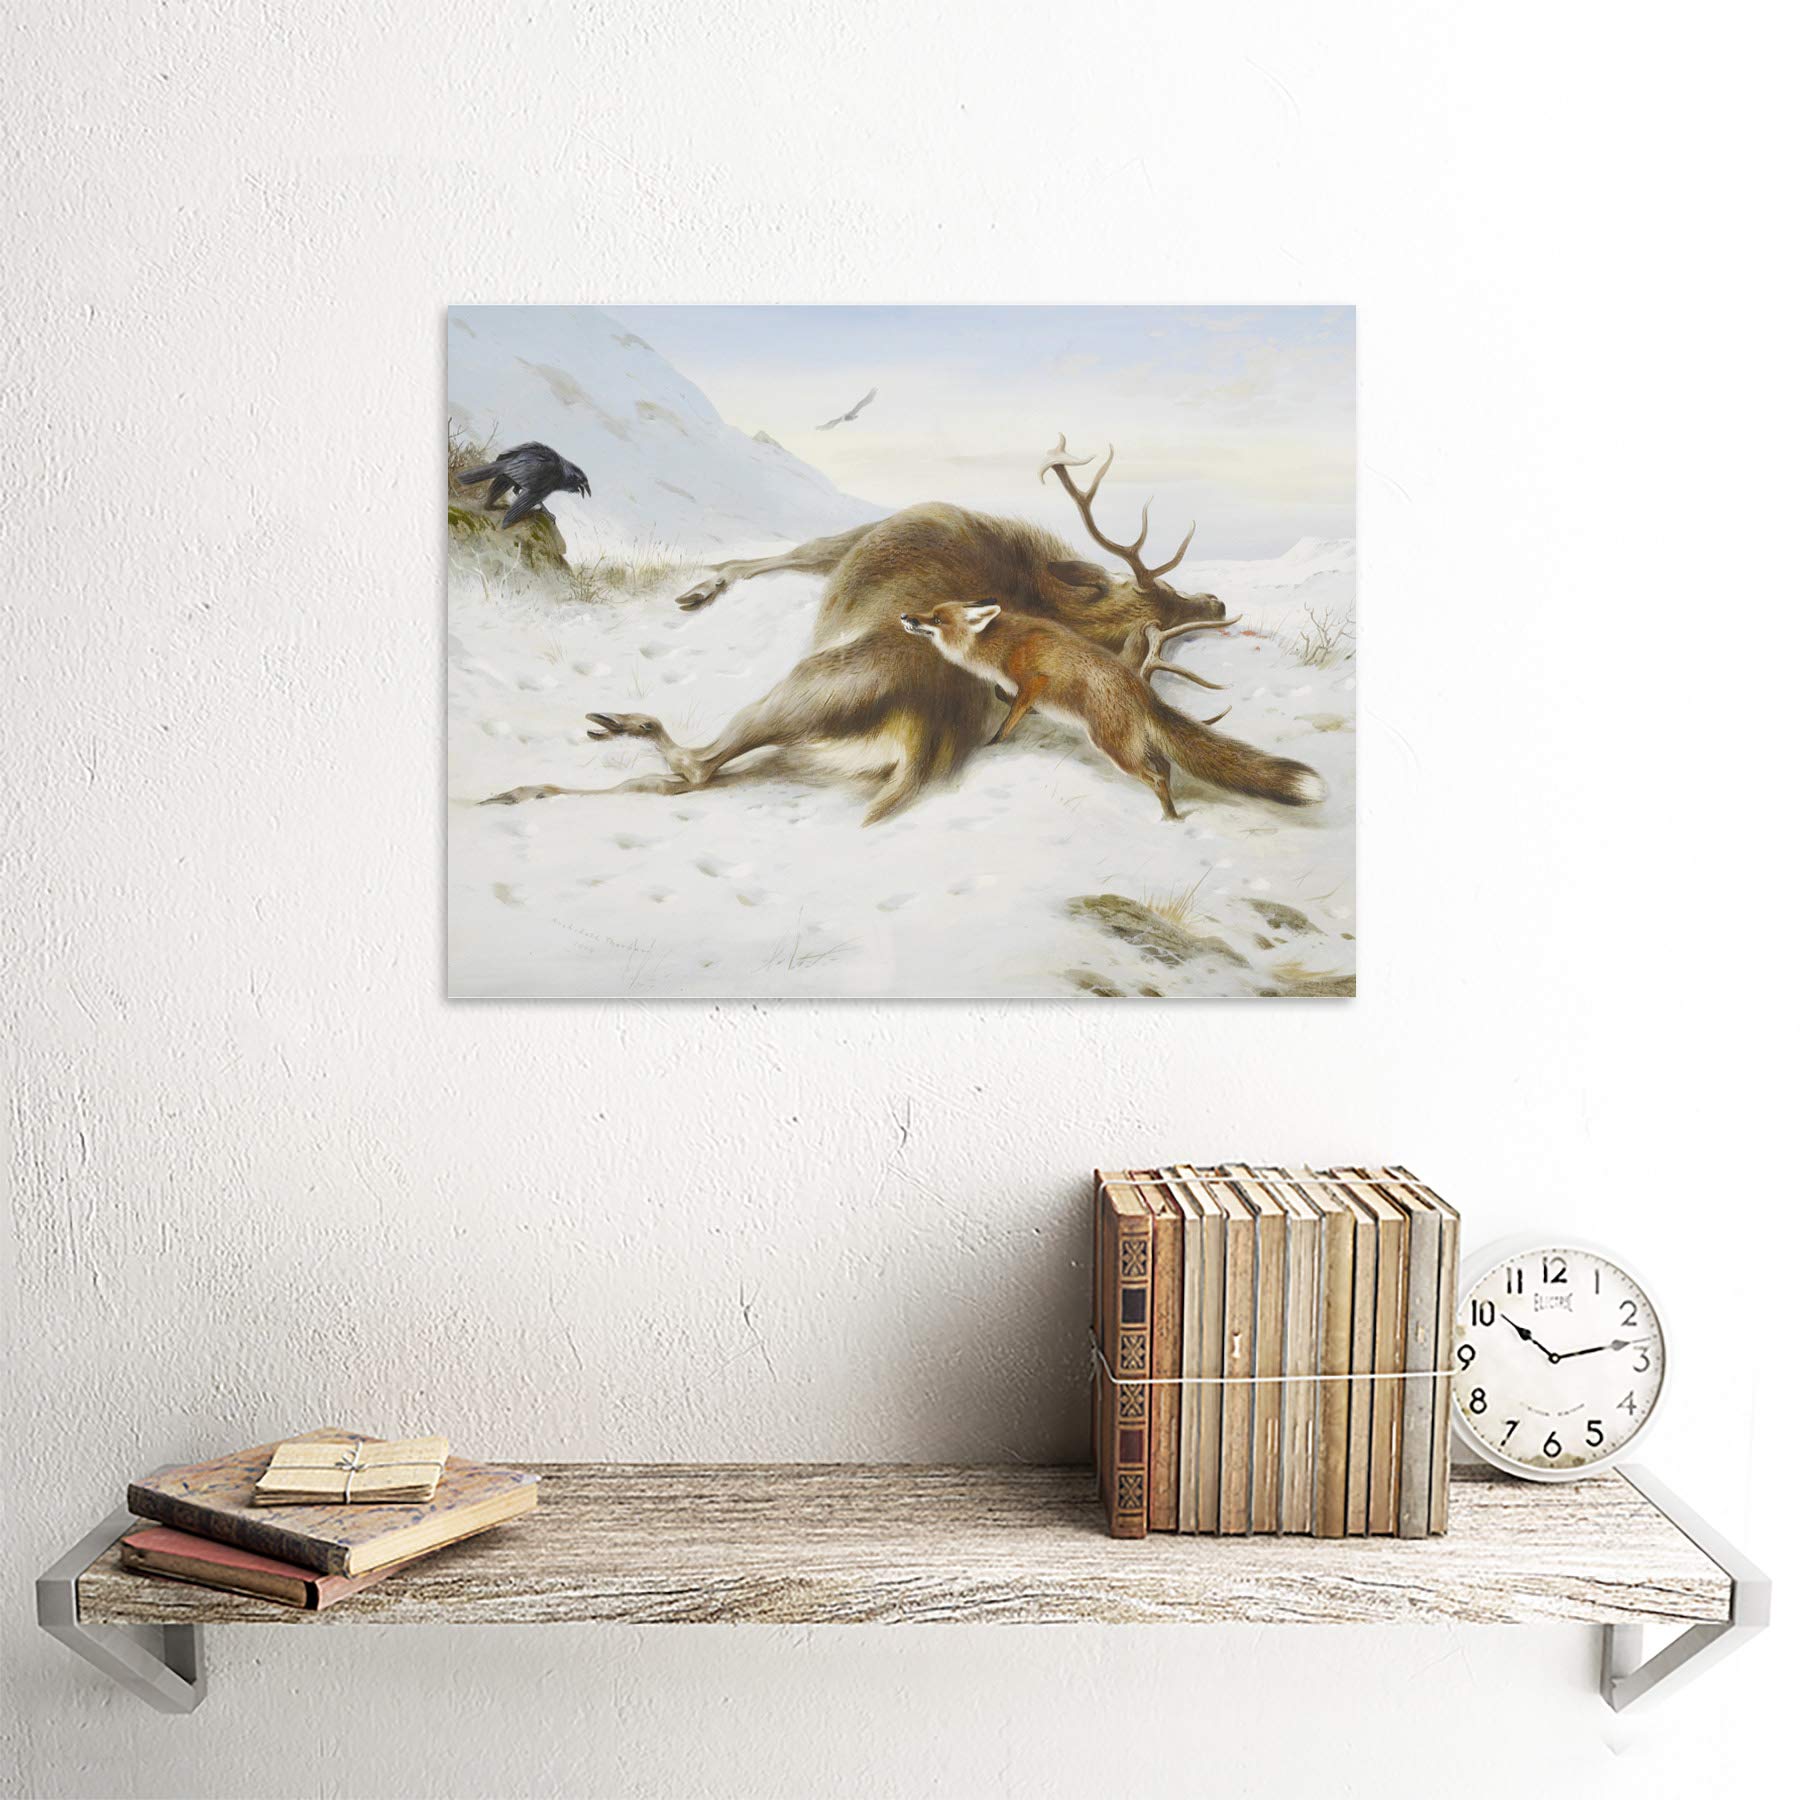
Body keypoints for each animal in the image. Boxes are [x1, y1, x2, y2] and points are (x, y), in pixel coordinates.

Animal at [899, 600, 1324, 819]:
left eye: (936, 618)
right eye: (929, 609)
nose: (905, 616)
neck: (997, 643)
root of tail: (1141, 687)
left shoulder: (1034, 680)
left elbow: (1009, 717)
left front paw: (994, 745)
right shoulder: (1018, 686)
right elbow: (1007, 699)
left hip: (1112, 745)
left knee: (1156, 774)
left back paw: (1169, 817)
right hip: (1130, 741)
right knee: (1164, 765)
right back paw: (1173, 815)